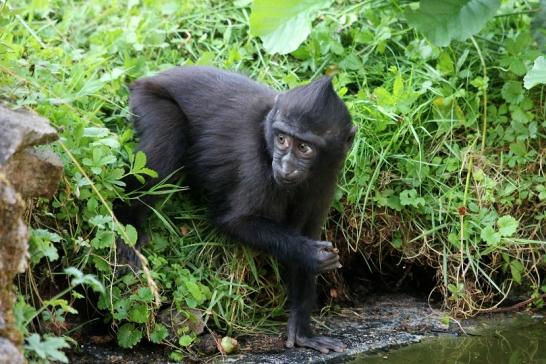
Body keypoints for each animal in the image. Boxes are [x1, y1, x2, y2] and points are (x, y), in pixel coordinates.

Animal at [118, 66, 352, 352]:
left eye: (304, 147)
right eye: (282, 140)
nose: (285, 167)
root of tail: (151, 77)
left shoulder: (326, 177)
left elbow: (305, 232)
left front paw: (303, 331)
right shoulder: (256, 164)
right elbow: (235, 221)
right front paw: (310, 253)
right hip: (149, 100)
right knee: (167, 140)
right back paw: (126, 225)